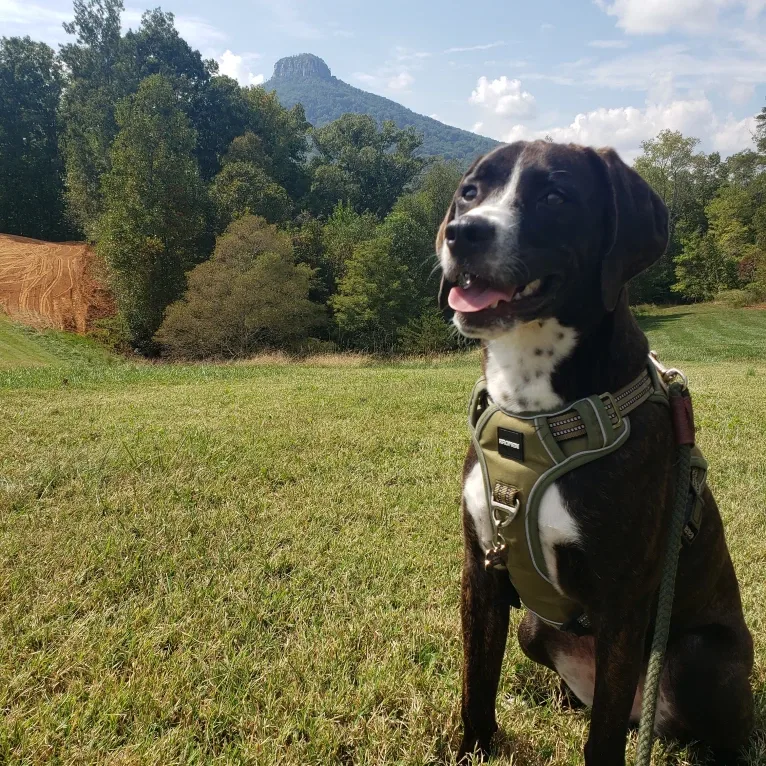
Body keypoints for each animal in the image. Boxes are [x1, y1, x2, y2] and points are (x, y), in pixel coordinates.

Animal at [438, 141, 756, 764]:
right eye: (470, 191)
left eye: (555, 196)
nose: (462, 233)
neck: (534, 409)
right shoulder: (480, 570)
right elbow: (475, 686)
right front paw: (472, 750)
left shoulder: (622, 604)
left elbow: (602, 737)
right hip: (536, 627)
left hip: (702, 655)